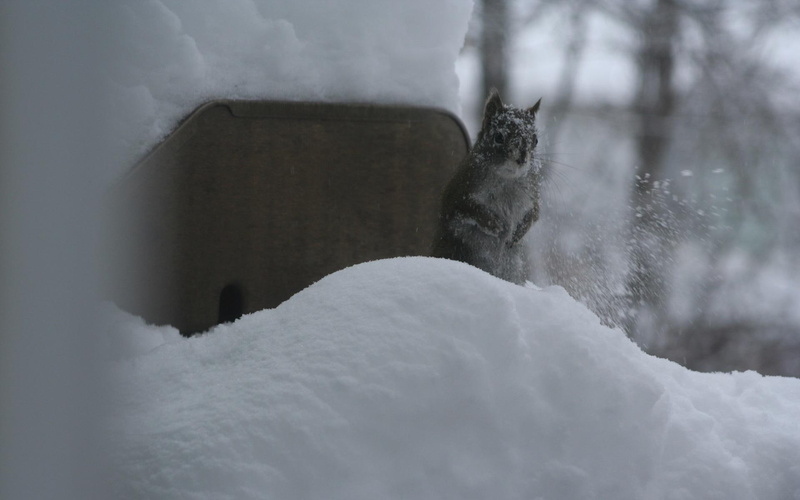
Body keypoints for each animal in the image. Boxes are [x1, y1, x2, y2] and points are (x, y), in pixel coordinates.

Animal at [432, 89, 542, 285]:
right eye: (498, 137)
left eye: (535, 140)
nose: (522, 159)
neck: (507, 180)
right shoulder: (459, 193)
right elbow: (467, 209)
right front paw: (496, 225)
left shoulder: (532, 195)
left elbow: (534, 213)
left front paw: (517, 233)